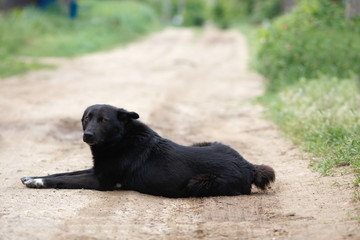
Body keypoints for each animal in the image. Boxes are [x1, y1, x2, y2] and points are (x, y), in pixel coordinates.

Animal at [21, 104, 276, 198]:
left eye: (103, 120)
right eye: (86, 119)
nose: (88, 135)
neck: (120, 139)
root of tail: (249, 166)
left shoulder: (102, 181)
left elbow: (64, 180)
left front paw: (37, 182)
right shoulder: (96, 170)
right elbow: (61, 173)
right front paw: (32, 177)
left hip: (196, 184)